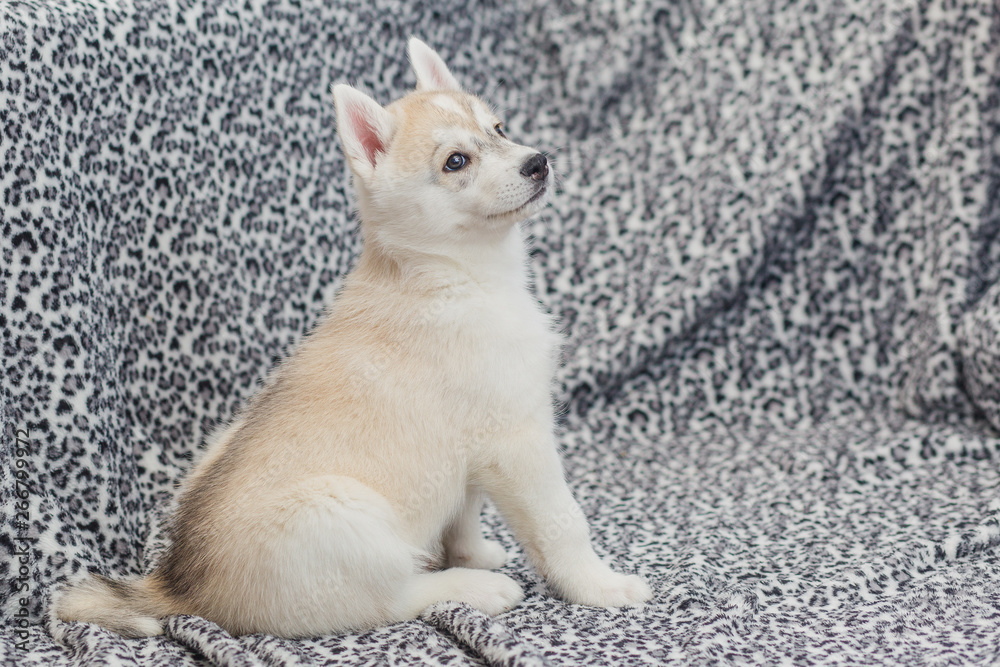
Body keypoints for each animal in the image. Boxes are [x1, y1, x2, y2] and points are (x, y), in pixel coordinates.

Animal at [54, 37, 652, 640]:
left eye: (500, 129)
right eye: (456, 161)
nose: (538, 161)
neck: (454, 274)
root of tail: (176, 588)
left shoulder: (468, 454)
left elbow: (462, 515)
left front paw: (475, 551)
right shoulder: (518, 439)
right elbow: (563, 523)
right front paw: (599, 586)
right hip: (348, 520)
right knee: (390, 600)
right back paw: (473, 588)